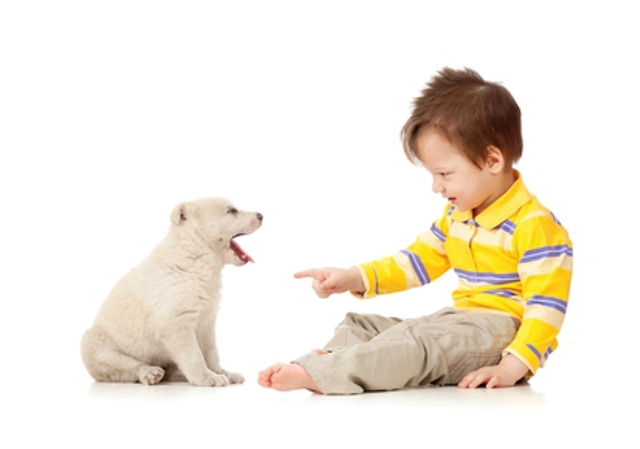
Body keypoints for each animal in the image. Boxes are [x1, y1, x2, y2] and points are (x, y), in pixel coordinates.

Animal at [81, 197, 262, 386]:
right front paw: (207, 377)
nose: (261, 215)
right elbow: (194, 355)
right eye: (232, 211)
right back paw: (150, 373)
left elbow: (211, 353)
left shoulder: (207, 321)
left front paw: (222, 373)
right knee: (128, 367)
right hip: (95, 345)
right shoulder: (176, 322)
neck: (197, 254)